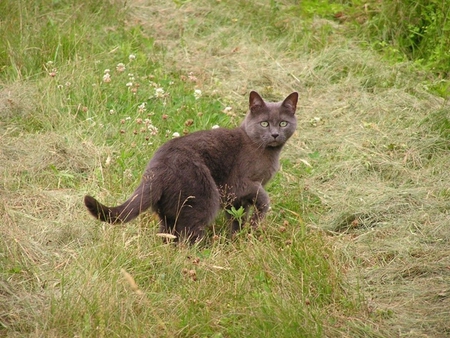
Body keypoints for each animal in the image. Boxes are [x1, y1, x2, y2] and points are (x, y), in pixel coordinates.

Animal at [85, 91, 298, 242]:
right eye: (264, 123)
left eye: (283, 123)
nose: (275, 134)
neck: (265, 151)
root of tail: (157, 167)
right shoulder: (240, 184)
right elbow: (263, 197)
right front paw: (254, 222)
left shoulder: (237, 199)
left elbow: (237, 217)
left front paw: (237, 237)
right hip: (204, 195)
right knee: (189, 233)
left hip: (169, 207)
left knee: (169, 232)